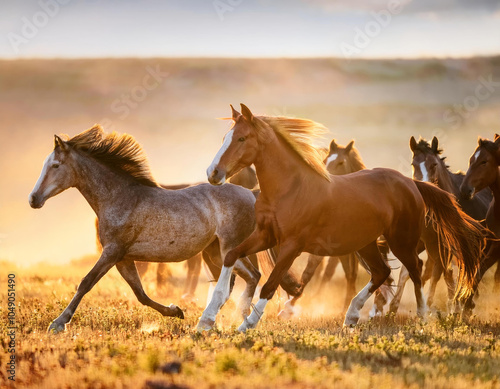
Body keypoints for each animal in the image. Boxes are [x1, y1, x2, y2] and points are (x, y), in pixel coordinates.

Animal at [28, 126, 262, 332]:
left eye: (55, 165)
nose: (33, 199)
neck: (119, 197)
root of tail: (251, 194)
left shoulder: (112, 252)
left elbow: (85, 283)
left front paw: (58, 323)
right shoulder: (123, 258)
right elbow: (140, 294)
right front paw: (175, 311)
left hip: (228, 249)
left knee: (244, 279)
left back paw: (225, 321)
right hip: (215, 253)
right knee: (251, 277)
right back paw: (237, 322)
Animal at [198, 104, 484, 330]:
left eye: (242, 138)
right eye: (226, 137)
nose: (213, 173)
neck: (290, 189)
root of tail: (412, 183)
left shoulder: (292, 245)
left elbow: (271, 284)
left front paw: (246, 325)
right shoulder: (265, 236)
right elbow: (232, 257)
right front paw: (207, 318)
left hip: (400, 241)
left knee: (415, 268)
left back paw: (422, 316)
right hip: (367, 244)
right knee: (381, 272)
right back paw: (352, 315)